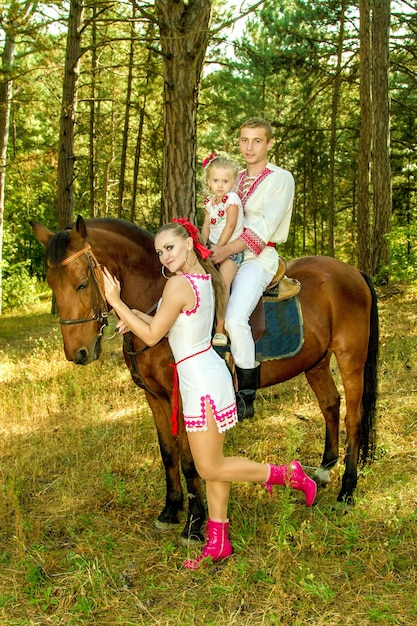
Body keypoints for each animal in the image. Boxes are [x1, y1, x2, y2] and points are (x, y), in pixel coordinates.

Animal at [30, 214, 378, 536]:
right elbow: (168, 453)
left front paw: (194, 523)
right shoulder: (154, 397)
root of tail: (353, 272)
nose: (78, 353)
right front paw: (170, 509)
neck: (156, 308)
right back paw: (323, 471)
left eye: (81, 284)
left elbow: (188, 459)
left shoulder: (183, 397)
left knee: (353, 418)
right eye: (51, 285)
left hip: (351, 358)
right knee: (330, 404)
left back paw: (347, 491)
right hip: (315, 362)